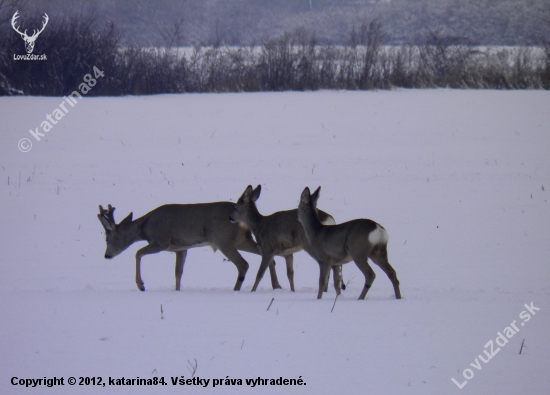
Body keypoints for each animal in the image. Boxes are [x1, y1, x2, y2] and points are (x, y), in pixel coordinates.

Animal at [97, 203, 284, 292]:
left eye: (108, 238)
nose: (106, 255)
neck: (144, 228)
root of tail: (242, 221)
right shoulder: (181, 248)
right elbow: (178, 272)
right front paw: (177, 290)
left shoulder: (161, 241)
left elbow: (137, 253)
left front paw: (141, 285)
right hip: (240, 240)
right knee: (269, 256)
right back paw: (277, 286)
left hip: (222, 239)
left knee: (243, 264)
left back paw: (236, 289)